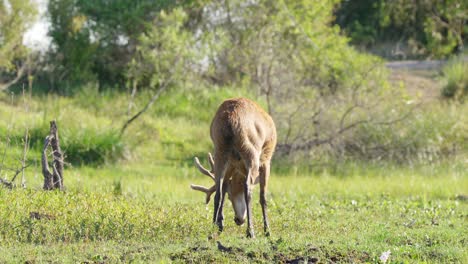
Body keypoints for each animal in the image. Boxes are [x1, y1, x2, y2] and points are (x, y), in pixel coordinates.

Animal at [190, 98, 276, 238]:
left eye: (230, 196)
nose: (238, 219)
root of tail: (230, 121)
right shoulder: (266, 160)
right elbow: (263, 197)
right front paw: (267, 230)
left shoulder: (231, 165)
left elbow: (224, 188)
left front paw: (220, 223)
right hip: (251, 152)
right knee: (248, 188)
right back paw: (250, 231)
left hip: (220, 151)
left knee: (218, 191)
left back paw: (212, 230)